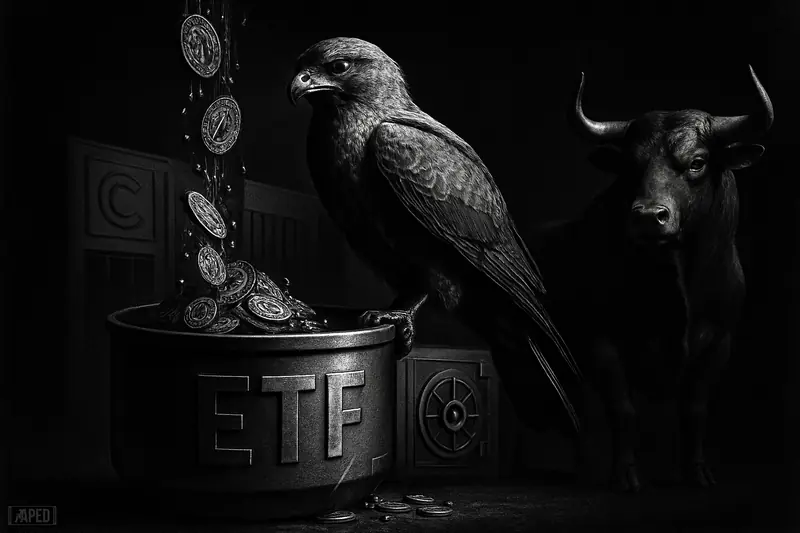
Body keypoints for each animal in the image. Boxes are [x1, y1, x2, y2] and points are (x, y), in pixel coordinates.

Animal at [529, 66, 773, 492]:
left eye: (697, 162)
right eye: (631, 166)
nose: (647, 216)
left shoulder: (719, 343)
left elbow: (695, 410)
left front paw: (698, 474)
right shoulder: (602, 340)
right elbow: (623, 409)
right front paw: (625, 476)